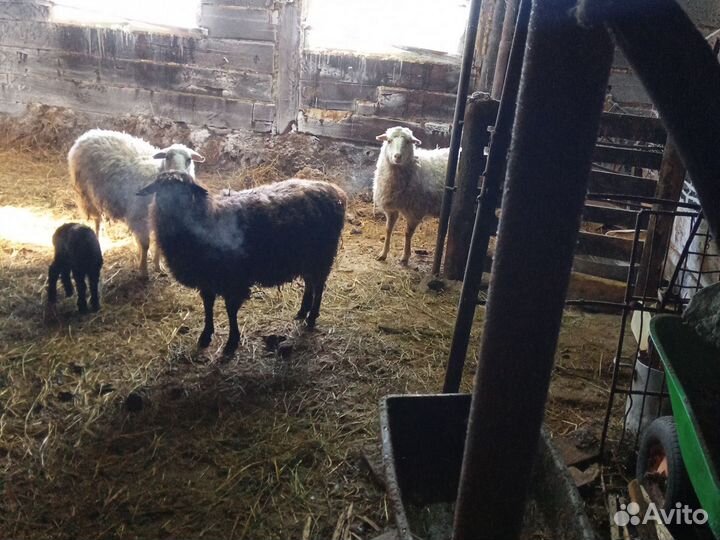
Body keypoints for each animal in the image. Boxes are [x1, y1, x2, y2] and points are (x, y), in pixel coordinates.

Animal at [68, 129, 205, 278]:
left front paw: (158, 266)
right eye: (167, 157)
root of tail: (88, 134)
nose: (178, 176)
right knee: (98, 221)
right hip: (88, 195)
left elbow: (158, 243)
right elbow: (145, 244)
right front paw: (144, 270)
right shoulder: (139, 217)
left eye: (189, 160)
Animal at [138, 171, 347, 355]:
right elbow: (208, 305)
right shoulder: (206, 279)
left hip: (322, 254)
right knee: (310, 282)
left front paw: (231, 342)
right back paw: (303, 311)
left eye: (184, 190)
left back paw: (311, 317)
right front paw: (205, 336)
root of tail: (337, 192)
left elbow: (230, 311)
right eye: (160, 190)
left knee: (319, 285)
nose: (169, 209)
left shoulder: (233, 280)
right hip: (307, 257)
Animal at [372, 126, 449, 265]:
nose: (397, 156)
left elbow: (407, 233)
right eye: (389, 140)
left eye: (408, 142)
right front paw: (383, 254)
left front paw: (405, 257)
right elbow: (388, 230)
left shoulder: (415, 211)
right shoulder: (391, 209)